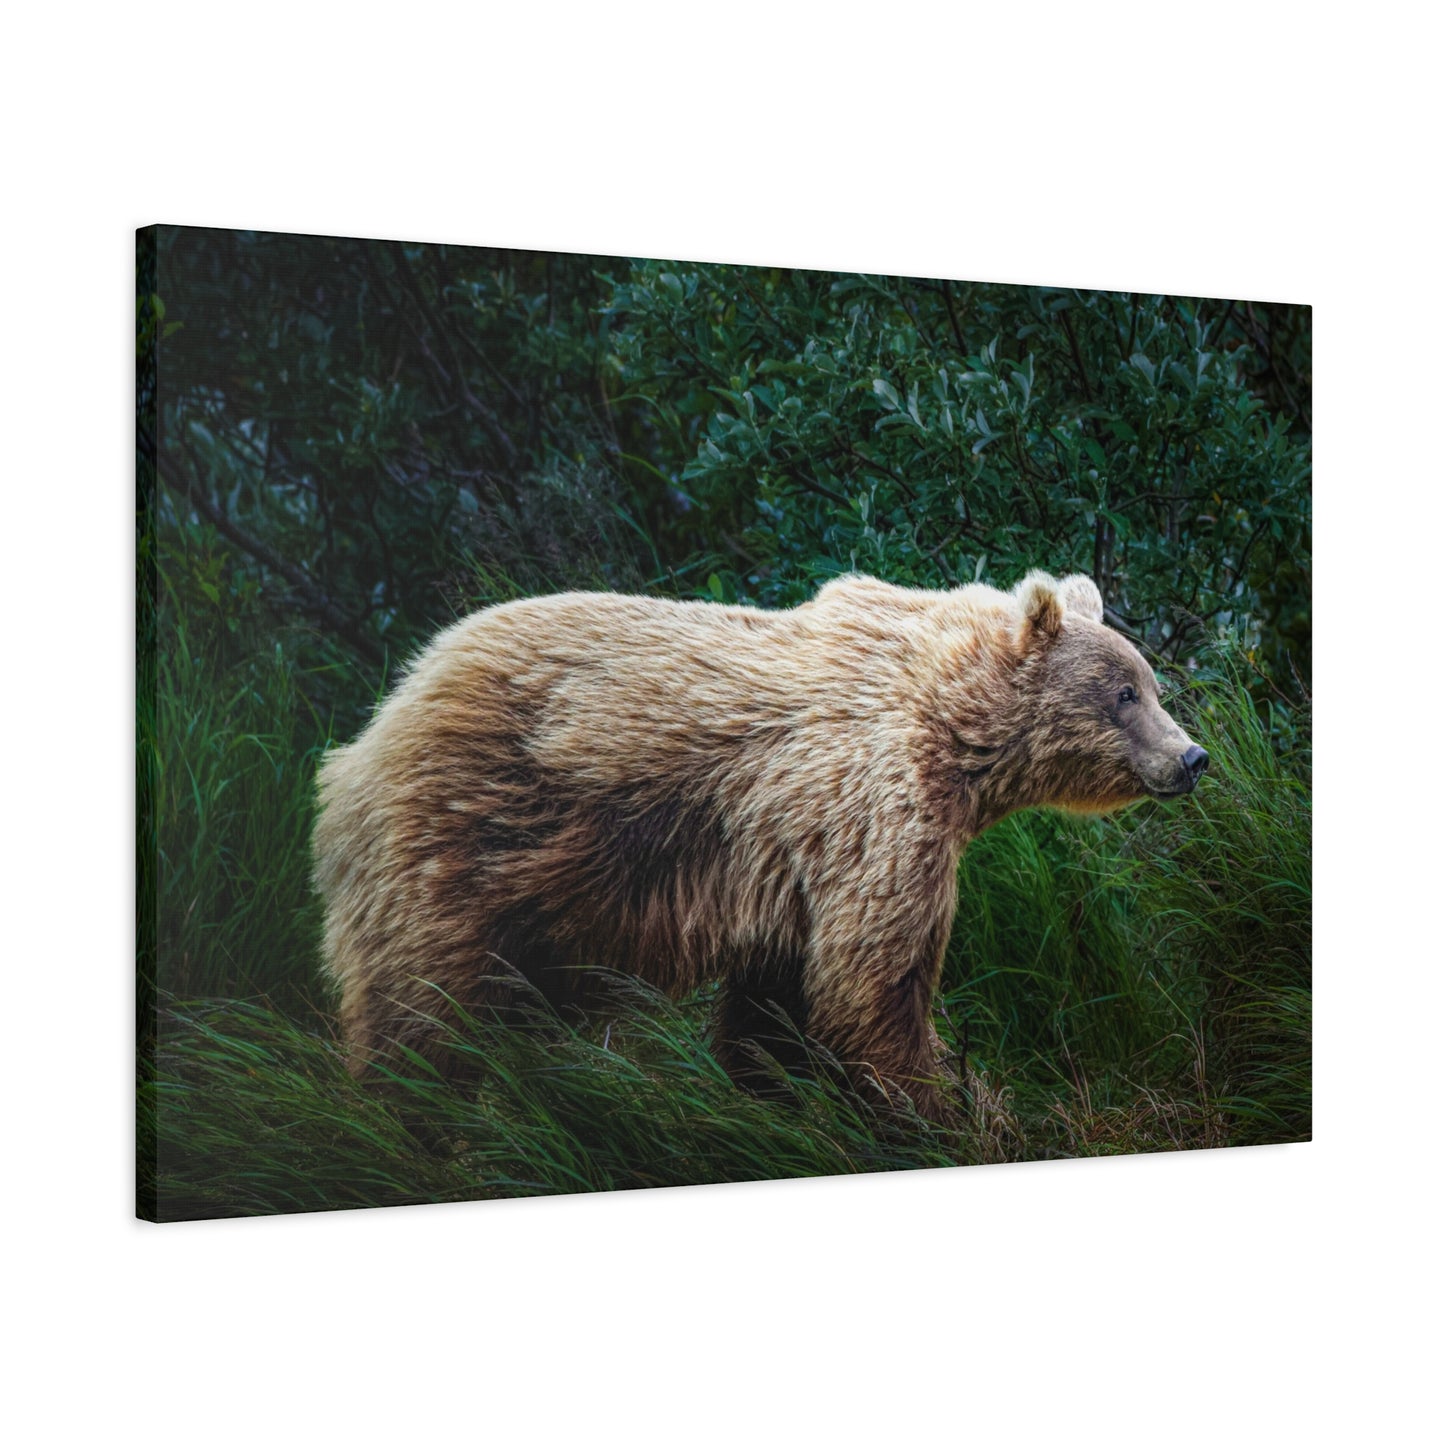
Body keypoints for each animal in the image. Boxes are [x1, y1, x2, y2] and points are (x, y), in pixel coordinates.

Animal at [312, 570, 1207, 1124]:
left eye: (1150, 682)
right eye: (1123, 692)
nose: (1191, 757)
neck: (956, 735)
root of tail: (372, 728)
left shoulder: (790, 867)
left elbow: (778, 1004)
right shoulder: (876, 813)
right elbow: (875, 983)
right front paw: (947, 1102)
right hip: (464, 841)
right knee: (422, 1010)